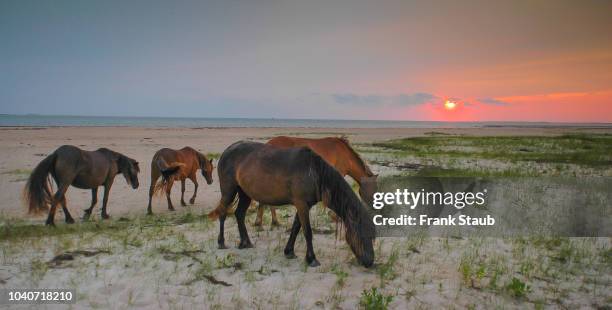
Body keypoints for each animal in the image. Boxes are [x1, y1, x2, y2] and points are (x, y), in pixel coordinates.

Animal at [208, 142, 376, 268]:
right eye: (362, 233)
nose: (370, 262)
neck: (314, 173)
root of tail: (228, 150)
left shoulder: (304, 205)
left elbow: (296, 227)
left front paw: (289, 252)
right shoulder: (301, 204)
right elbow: (307, 231)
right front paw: (312, 259)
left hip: (245, 194)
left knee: (239, 215)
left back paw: (245, 242)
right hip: (229, 191)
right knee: (223, 213)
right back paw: (221, 242)